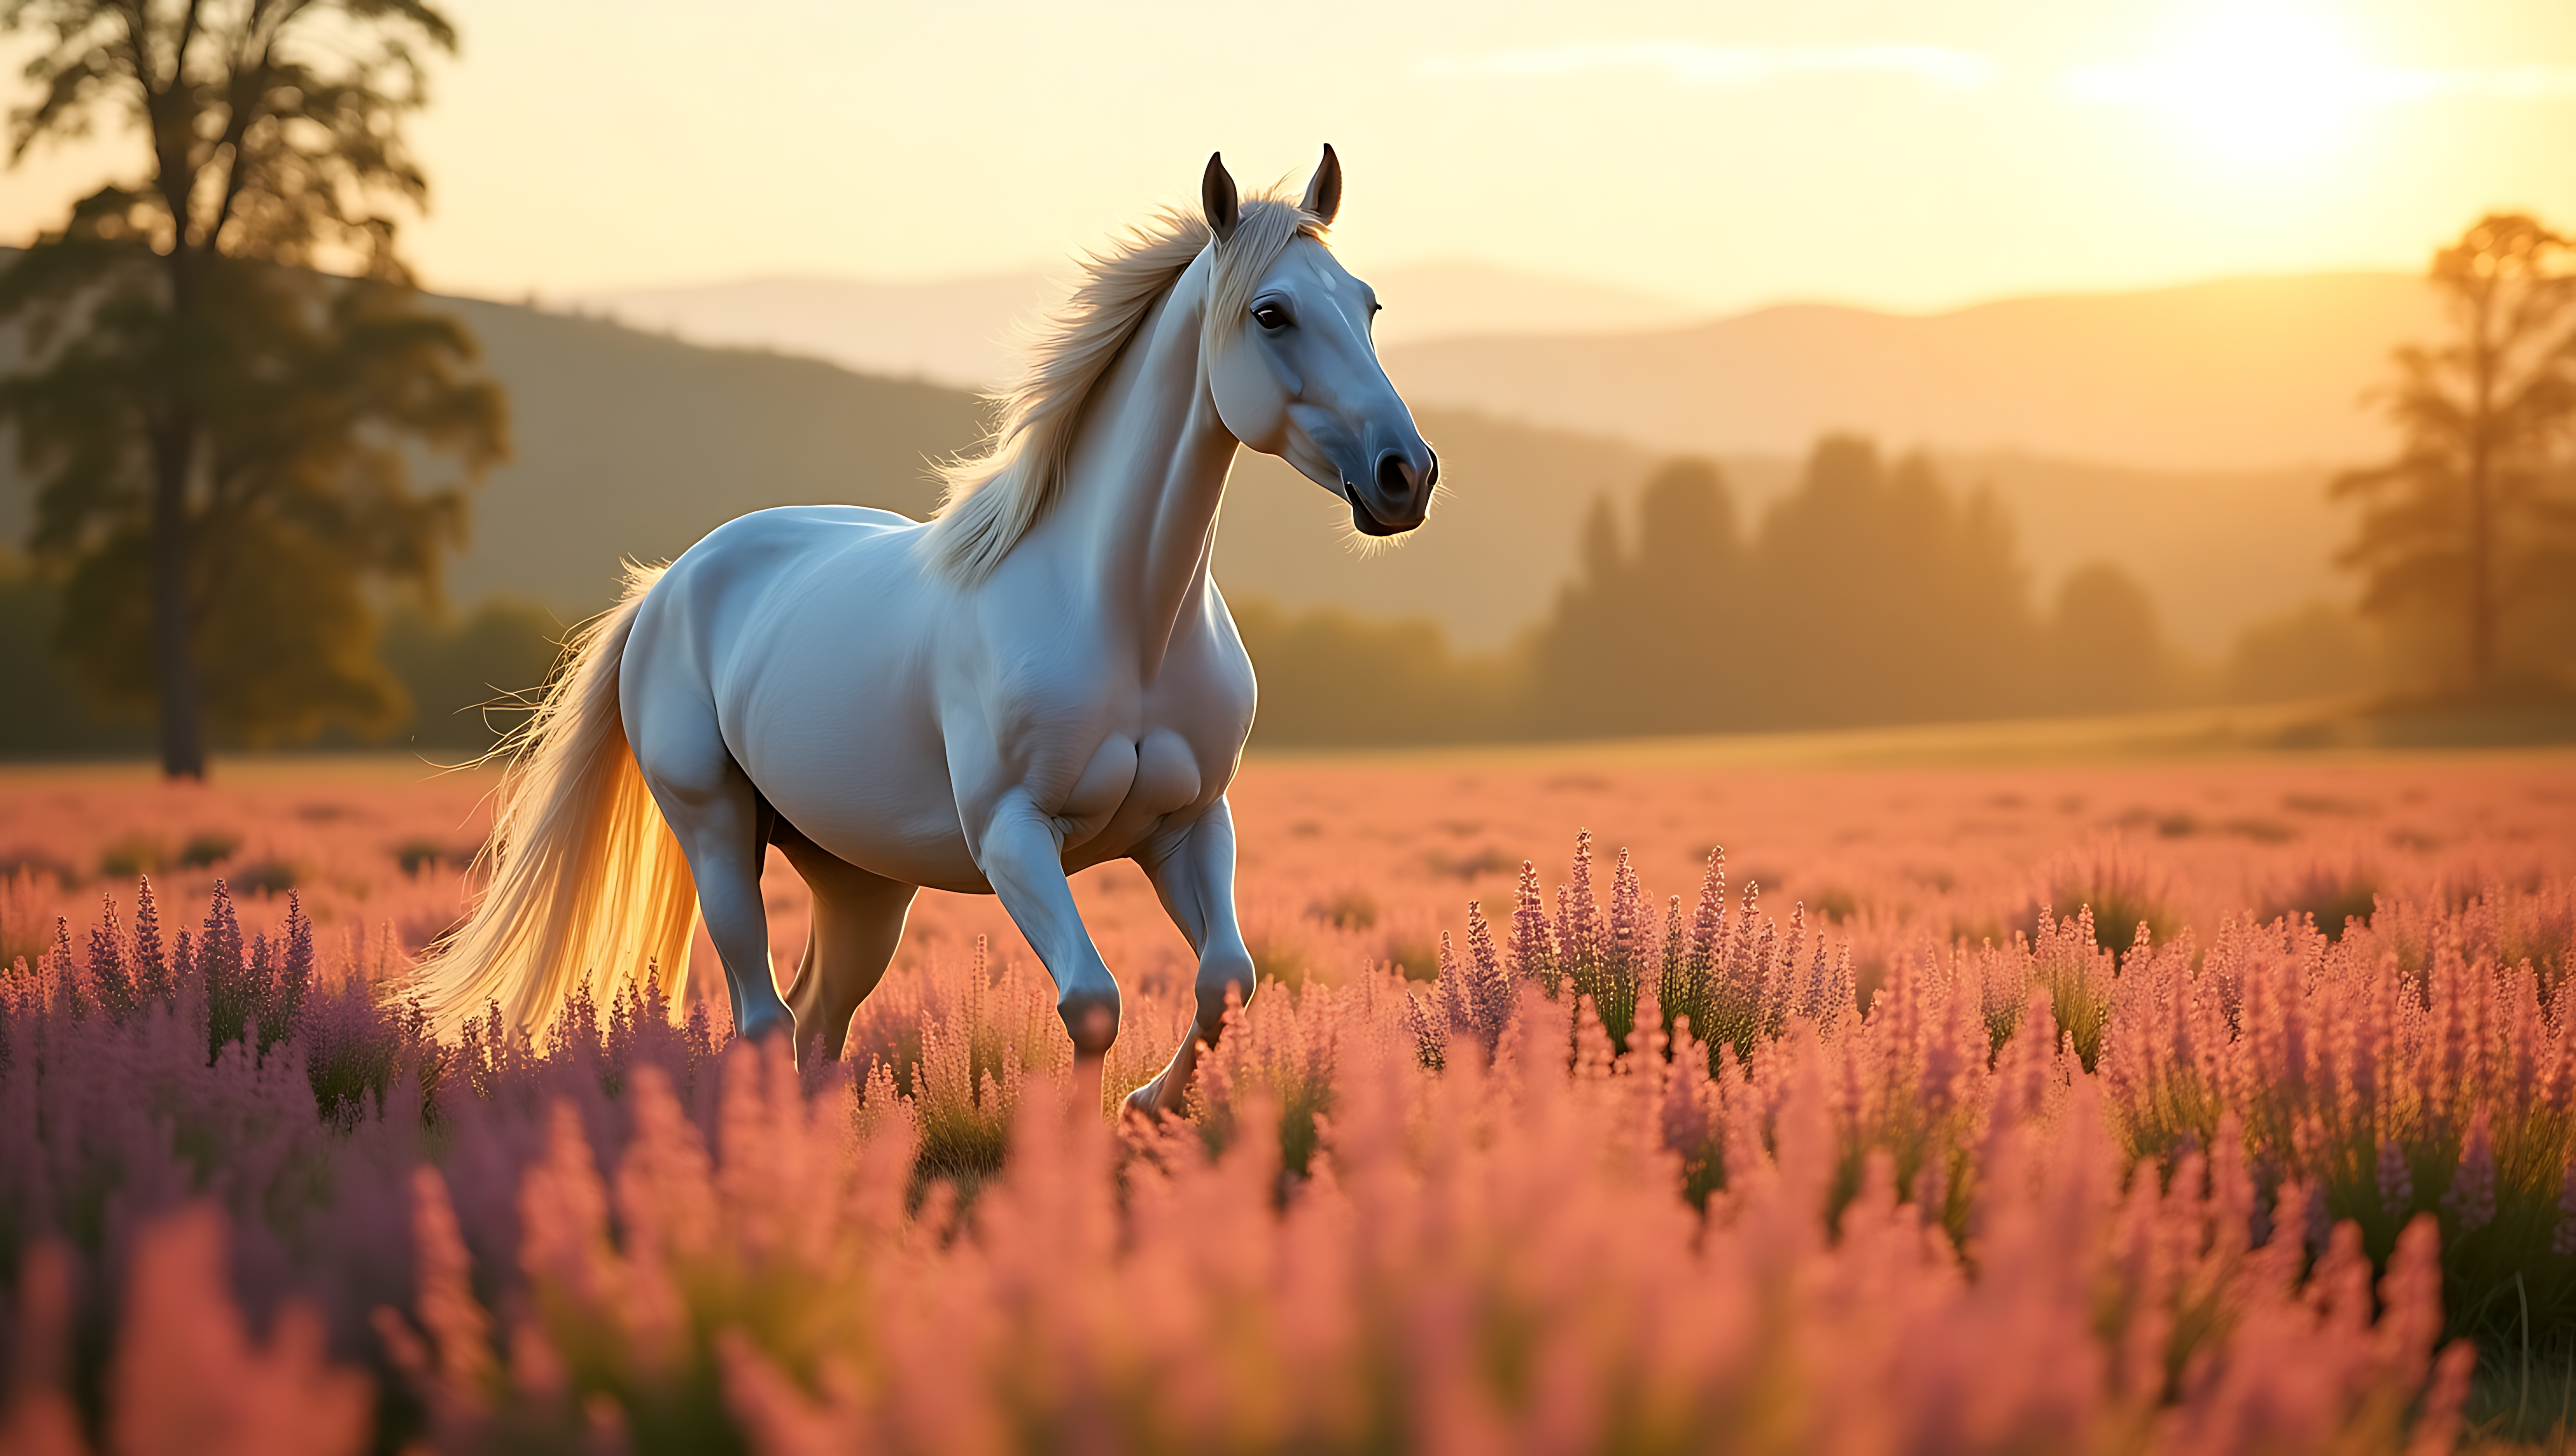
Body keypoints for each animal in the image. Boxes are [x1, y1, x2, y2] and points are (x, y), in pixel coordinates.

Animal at [409, 146, 1438, 1116]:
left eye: (1368, 304)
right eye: (1271, 313)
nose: (1406, 475)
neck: (1124, 620)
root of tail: (670, 586)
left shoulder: (1189, 824)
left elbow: (1227, 981)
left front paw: (1148, 1107)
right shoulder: (1014, 836)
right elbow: (1093, 1002)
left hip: (862, 881)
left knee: (817, 1020)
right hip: (715, 831)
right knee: (762, 1020)